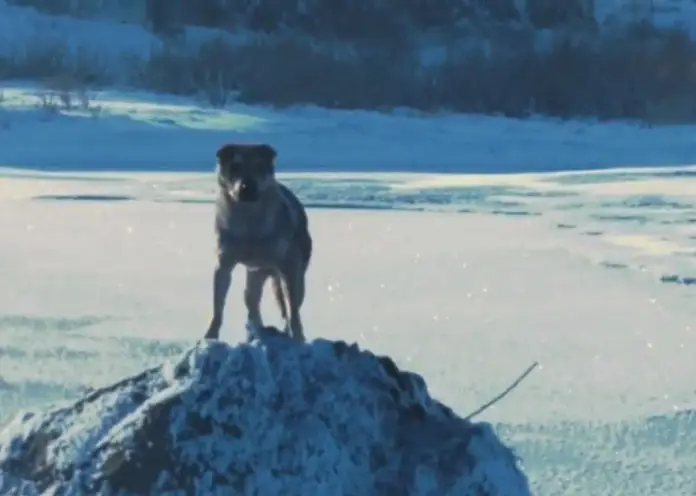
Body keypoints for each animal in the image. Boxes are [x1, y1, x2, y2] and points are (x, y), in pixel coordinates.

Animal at [201, 143, 310, 342]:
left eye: (259, 166)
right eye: (234, 167)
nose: (246, 187)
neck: (249, 226)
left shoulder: (289, 267)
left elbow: (293, 311)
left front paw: (298, 337)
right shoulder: (224, 263)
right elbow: (218, 306)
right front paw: (210, 335)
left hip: (293, 272)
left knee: (290, 304)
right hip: (256, 272)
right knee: (251, 300)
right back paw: (255, 331)